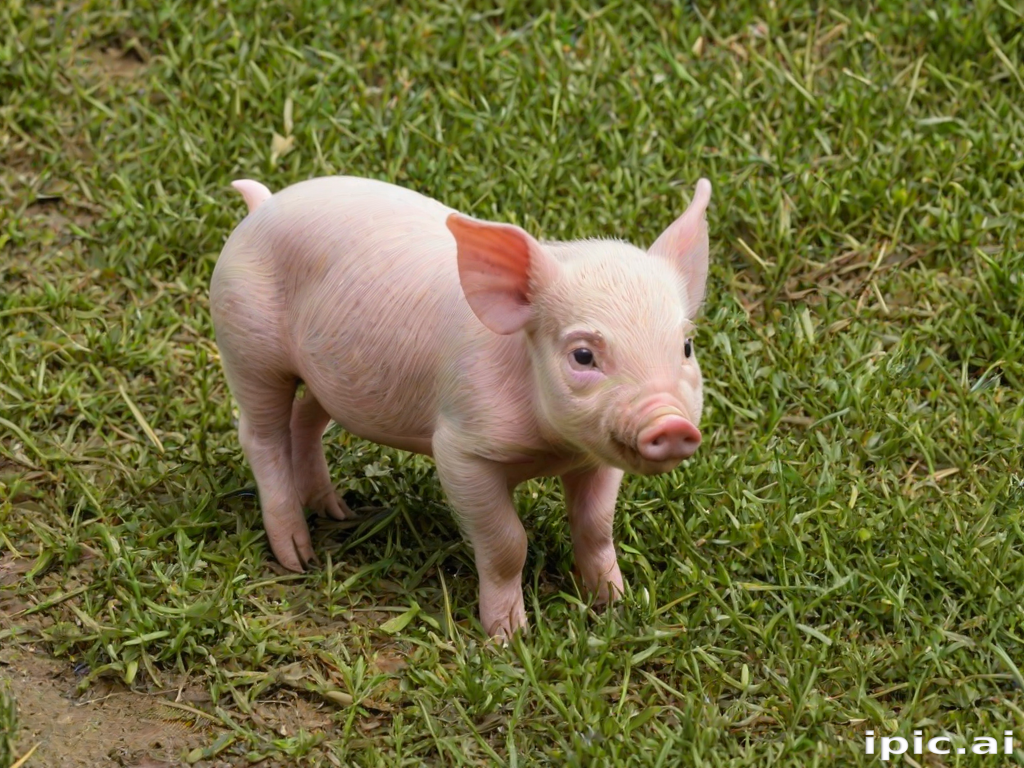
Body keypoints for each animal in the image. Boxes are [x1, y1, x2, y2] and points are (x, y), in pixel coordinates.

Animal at [210, 175, 711, 638]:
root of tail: (263, 204)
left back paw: (339, 513)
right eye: (583, 355)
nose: (670, 424)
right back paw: (299, 558)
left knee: (305, 421)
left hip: (329, 373)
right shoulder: (461, 449)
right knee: (261, 436)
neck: (552, 449)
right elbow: (507, 543)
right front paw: (508, 637)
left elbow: (596, 526)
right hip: (248, 345)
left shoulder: (596, 457)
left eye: (685, 346)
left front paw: (618, 607)